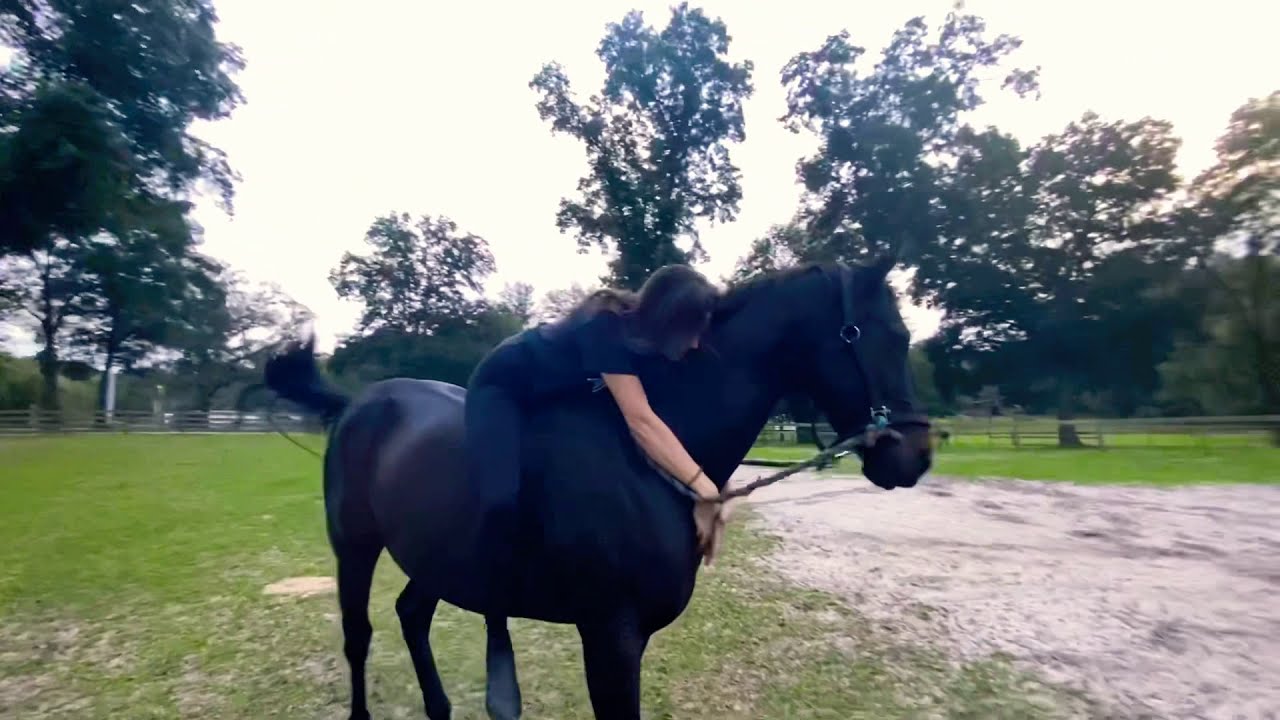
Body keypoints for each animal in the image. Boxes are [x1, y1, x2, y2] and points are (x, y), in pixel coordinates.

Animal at [263, 258, 933, 720]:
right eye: (882, 335)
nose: (917, 456)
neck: (642, 459)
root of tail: (359, 403)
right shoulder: (611, 638)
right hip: (355, 548)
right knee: (359, 637)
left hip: (437, 557)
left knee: (411, 615)